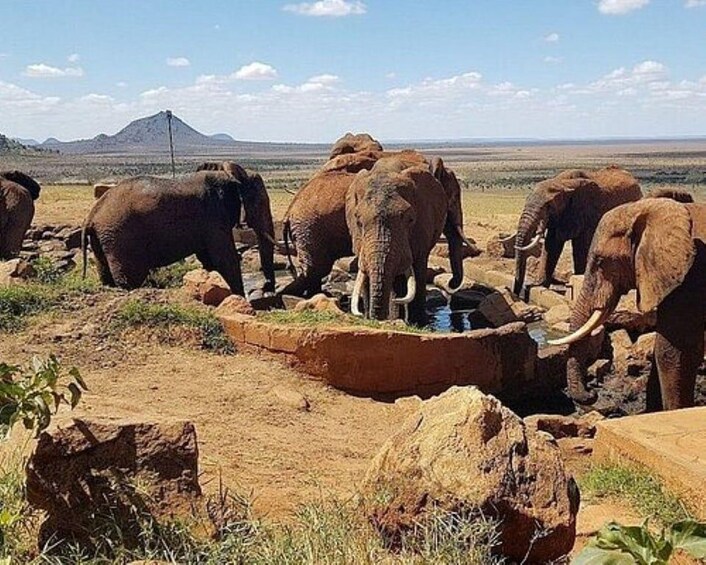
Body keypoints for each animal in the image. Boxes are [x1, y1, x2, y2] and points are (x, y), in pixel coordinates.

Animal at [81, 162, 276, 294]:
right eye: (259, 202)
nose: (267, 287)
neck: (229, 174)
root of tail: (91, 217)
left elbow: (209, 260)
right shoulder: (213, 215)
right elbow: (224, 259)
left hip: (103, 239)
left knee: (105, 274)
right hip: (121, 238)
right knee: (131, 279)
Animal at [512, 166, 642, 296]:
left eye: (548, 206)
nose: (518, 294)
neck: (561, 183)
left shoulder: (587, 212)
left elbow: (580, 247)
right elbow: (552, 245)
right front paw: (541, 285)